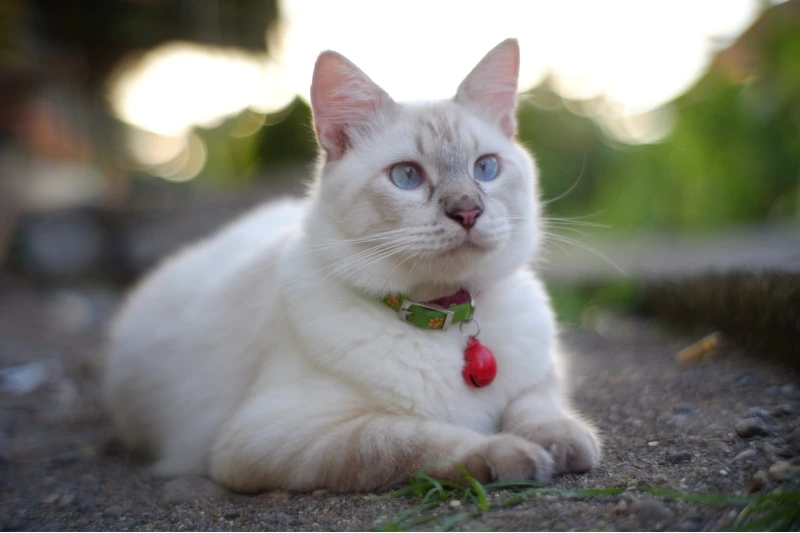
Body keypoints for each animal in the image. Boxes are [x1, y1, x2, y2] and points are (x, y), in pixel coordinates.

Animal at [101, 39, 600, 492]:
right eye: (407, 176)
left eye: (486, 168)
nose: (468, 211)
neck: (445, 317)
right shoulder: (273, 436)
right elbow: (415, 441)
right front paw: (513, 457)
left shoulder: (544, 375)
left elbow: (535, 407)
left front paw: (567, 445)